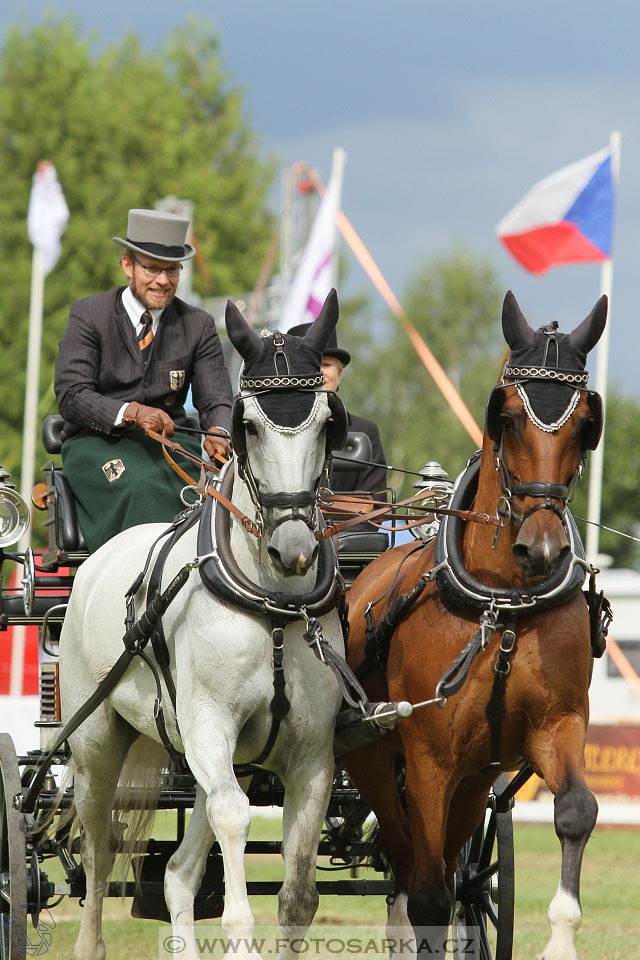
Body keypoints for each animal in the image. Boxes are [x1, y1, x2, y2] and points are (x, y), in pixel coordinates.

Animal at [59, 292, 348, 960]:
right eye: (249, 425)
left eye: (327, 422)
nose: (293, 548)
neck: (272, 606)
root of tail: (92, 563)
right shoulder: (210, 725)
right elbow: (234, 824)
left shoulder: (312, 753)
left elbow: (298, 898)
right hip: (97, 744)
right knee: (99, 847)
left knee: (178, 872)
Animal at [344, 292, 604, 960]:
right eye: (506, 417)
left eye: (584, 423)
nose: (543, 547)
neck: (503, 607)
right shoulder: (428, 754)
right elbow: (429, 898)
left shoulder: (557, 724)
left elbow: (575, 811)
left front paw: (561, 938)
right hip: (379, 761)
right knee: (411, 865)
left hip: (473, 777)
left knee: (435, 868)